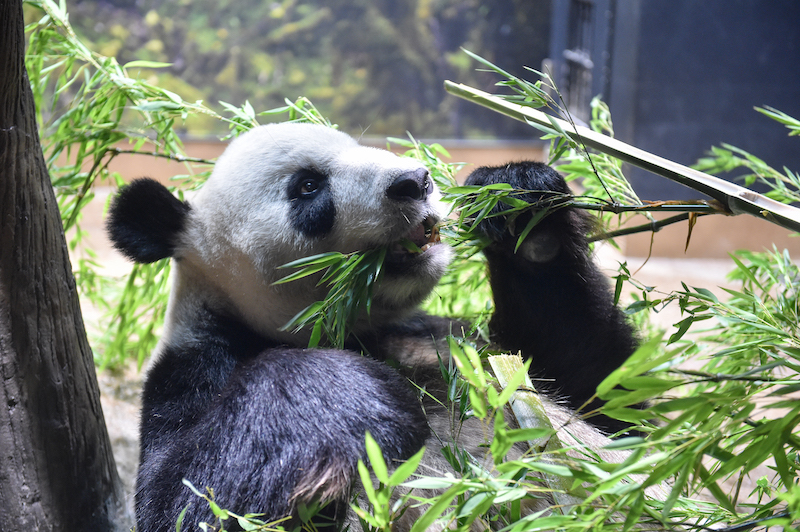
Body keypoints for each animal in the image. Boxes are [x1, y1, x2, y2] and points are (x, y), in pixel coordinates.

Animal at [108, 121, 636, 532]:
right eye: (308, 187)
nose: (415, 180)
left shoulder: (440, 335)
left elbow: (597, 390)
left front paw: (519, 203)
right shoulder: (196, 371)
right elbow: (188, 501)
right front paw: (349, 396)